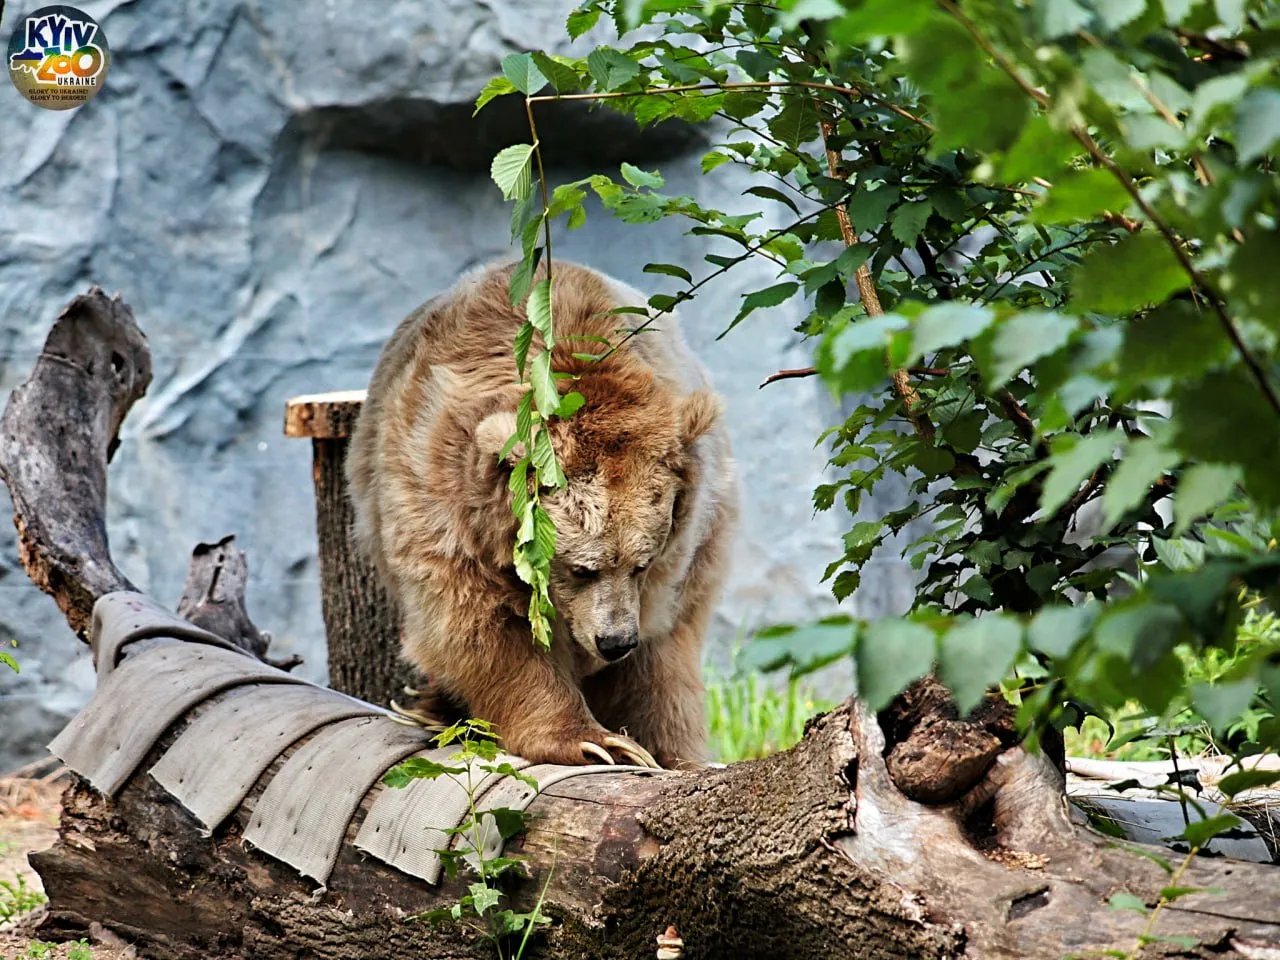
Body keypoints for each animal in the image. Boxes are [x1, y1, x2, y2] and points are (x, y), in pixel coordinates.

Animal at [348, 259, 742, 773]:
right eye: (581, 569)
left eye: (642, 563)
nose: (615, 641)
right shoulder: (442, 492)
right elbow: (482, 625)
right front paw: (593, 741)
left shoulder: (676, 560)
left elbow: (658, 651)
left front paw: (640, 744)